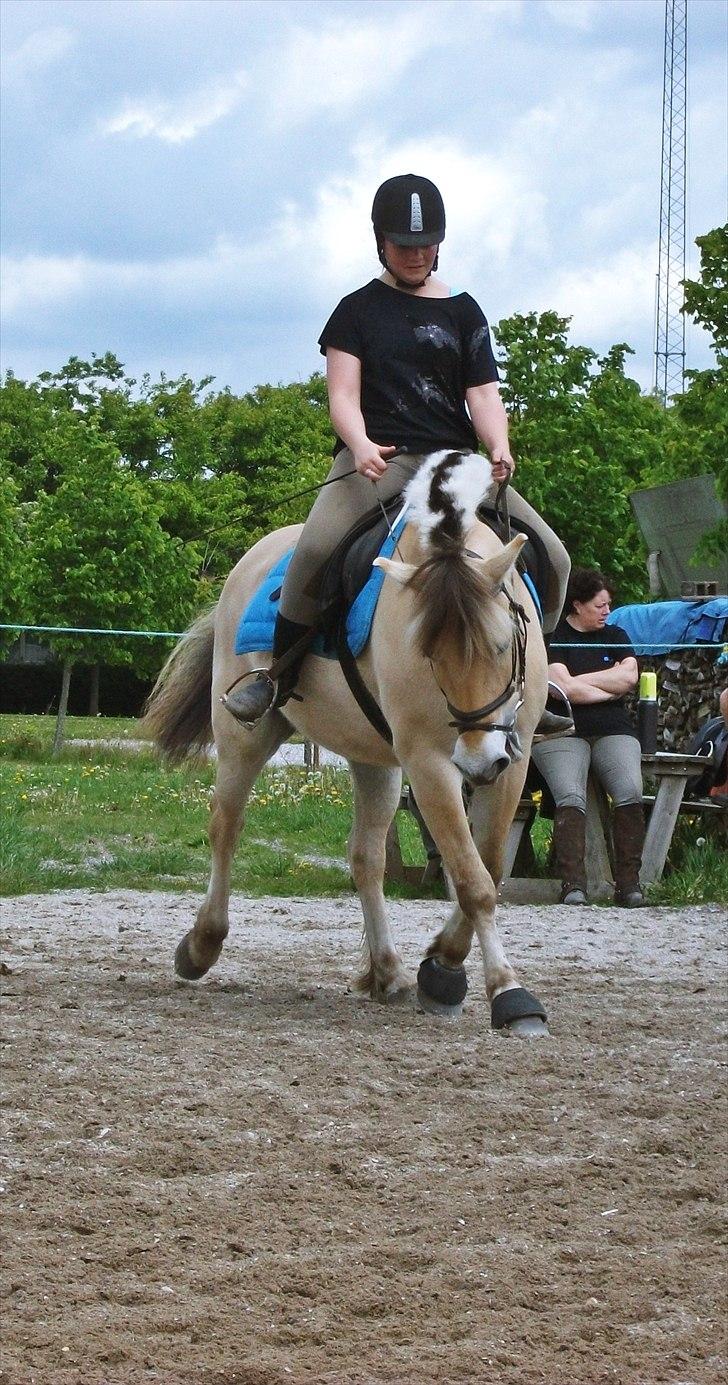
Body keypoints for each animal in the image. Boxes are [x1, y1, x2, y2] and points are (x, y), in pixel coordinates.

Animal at [142, 448, 550, 1035]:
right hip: (246, 735)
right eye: (428, 652)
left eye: (501, 645)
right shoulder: (428, 762)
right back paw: (201, 946)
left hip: (374, 755)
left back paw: (388, 972)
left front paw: (442, 967)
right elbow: (472, 878)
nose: (477, 762)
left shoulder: (512, 758)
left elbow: (489, 866)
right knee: (226, 825)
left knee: (366, 857)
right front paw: (508, 993)